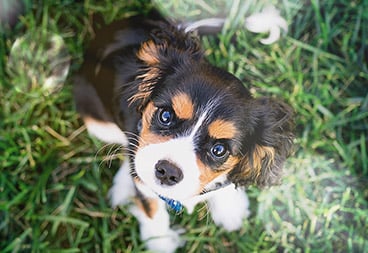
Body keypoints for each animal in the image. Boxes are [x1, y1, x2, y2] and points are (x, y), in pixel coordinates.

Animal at [74, 8, 294, 252]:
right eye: (166, 116)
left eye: (219, 150)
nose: (167, 171)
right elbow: (152, 208)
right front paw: (160, 242)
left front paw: (230, 208)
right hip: (95, 117)